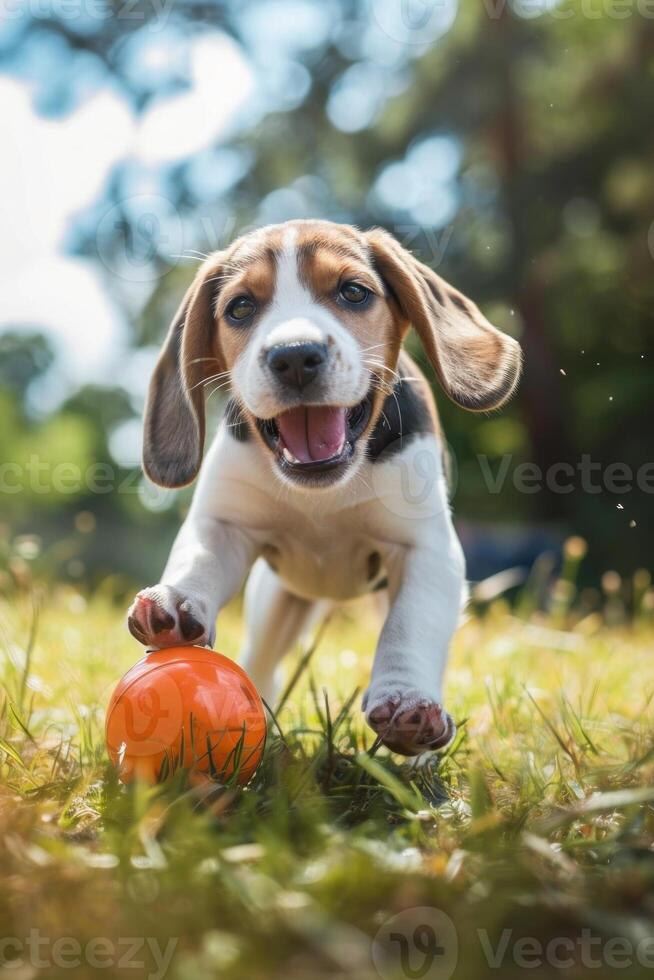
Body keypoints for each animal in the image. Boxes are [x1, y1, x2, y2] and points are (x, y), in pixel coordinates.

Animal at [128, 222, 524, 756]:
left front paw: (407, 700)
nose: (294, 355)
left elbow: (410, 627)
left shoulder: (426, 551)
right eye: (240, 307)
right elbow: (199, 560)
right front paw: (176, 599)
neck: (323, 491)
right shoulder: (224, 524)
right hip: (276, 602)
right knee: (262, 662)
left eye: (353, 292)